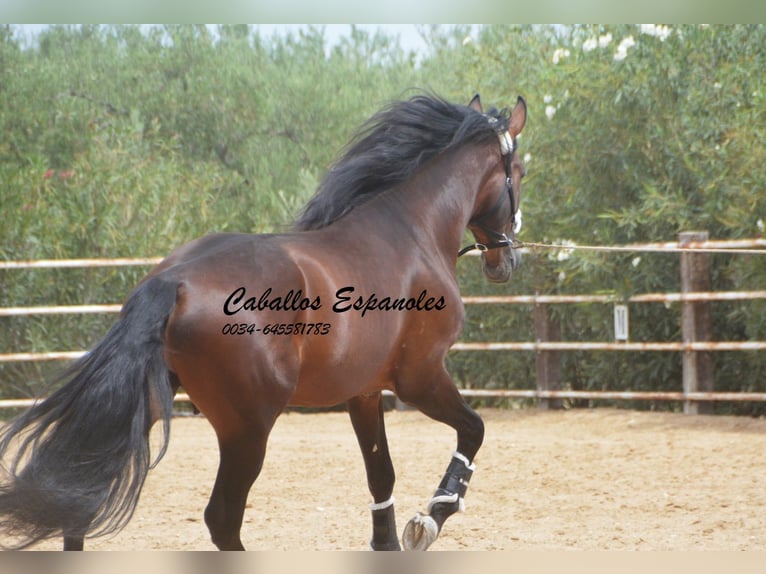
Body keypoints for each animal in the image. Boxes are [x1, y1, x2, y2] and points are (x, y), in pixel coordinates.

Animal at [0, 92, 528, 552]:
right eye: (519, 173)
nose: (506, 260)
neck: (412, 232)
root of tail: (173, 280)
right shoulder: (419, 377)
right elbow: (474, 431)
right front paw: (432, 518)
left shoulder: (364, 390)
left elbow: (381, 474)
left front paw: (389, 543)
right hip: (248, 429)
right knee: (222, 519)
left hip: (150, 403)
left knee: (79, 500)